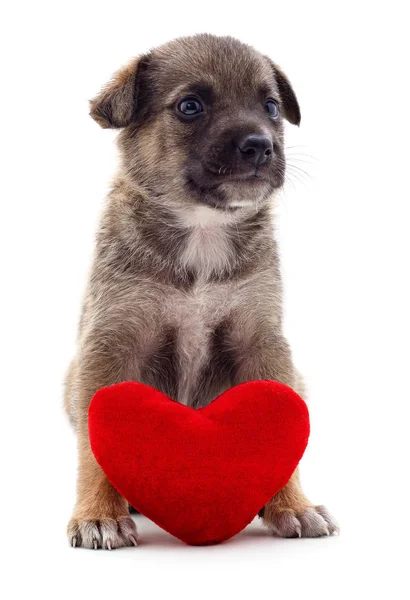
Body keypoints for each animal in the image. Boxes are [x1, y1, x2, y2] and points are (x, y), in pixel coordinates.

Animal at [65, 34, 340, 548]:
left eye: (270, 106)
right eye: (190, 106)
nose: (260, 145)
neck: (203, 229)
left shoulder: (261, 342)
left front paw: (291, 505)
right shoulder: (110, 346)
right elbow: (93, 450)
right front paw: (99, 514)